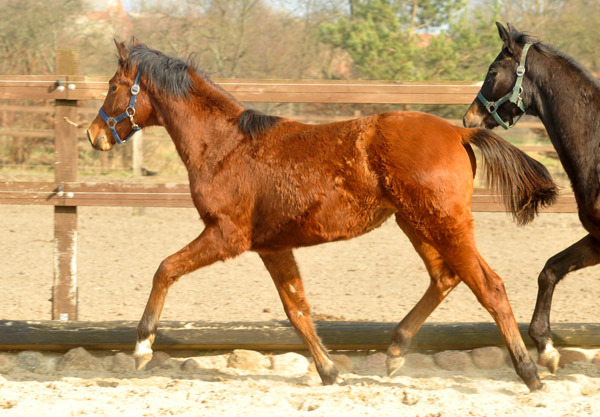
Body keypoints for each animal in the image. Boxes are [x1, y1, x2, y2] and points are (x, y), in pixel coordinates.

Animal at [85, 39, 556, 390]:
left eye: (114, 85)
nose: (93, 135)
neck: (225, 146)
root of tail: (459, 132)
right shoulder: (272, 246)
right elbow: (297, 309)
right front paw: (329, 371)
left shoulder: (227, 236)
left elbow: (165, 268)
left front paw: (142, 347)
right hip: (416, 223)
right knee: (445, 277)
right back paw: (396, 352)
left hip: (444, 223)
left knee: (489, 287)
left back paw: (531, 371)